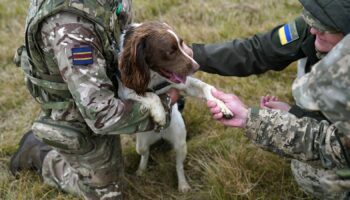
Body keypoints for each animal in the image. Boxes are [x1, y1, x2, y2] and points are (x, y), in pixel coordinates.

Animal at [116, 21, 234, 192]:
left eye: (181, 44)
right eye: (170, 51)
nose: (197, 66)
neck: (154, 77)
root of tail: (160, 136)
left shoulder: (183, 84)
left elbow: (205, 87)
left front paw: (221, 105)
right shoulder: (124, 92)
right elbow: (150, 95)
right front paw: (159, 114)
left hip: (181, 144)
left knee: (178, 165)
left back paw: (183, 185)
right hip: (141, 144)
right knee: (145, 154)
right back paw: (141, 170)